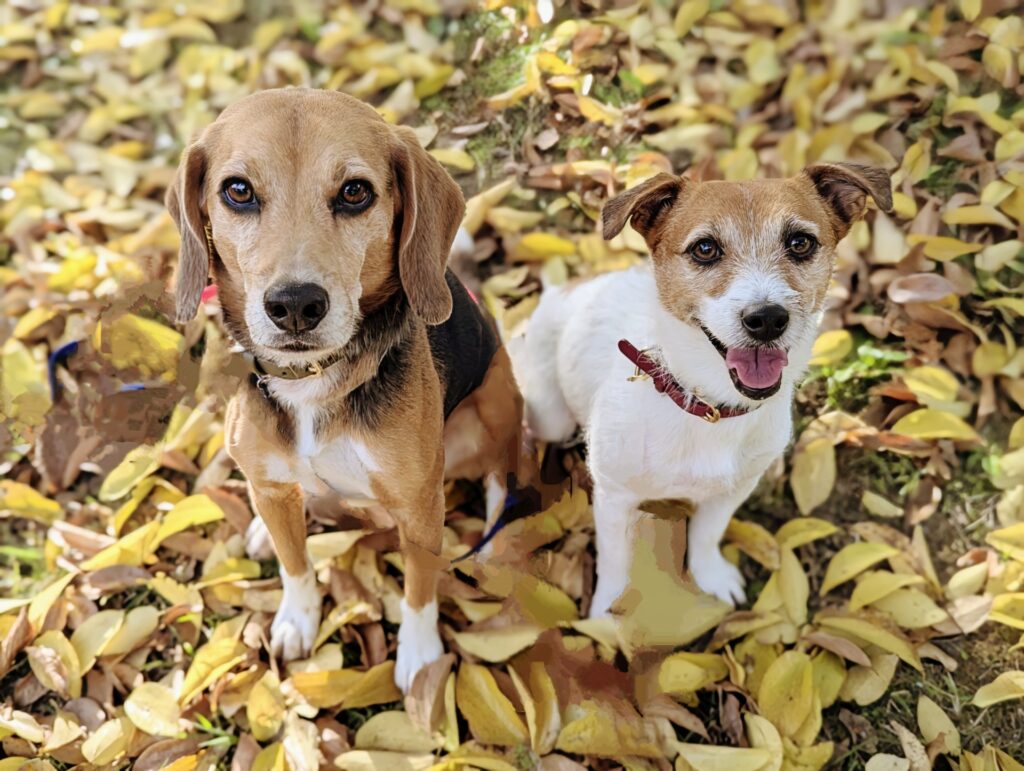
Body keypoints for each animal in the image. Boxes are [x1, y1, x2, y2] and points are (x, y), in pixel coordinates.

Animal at [166, 87, 524, 688]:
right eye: (238, 190)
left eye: (355, 192)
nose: (295, 305)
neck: (313, 381)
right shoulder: (274, 489)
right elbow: (295, 564)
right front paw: (297, 618)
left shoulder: (421, 507)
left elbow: (419, 589)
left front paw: (421, 658)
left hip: (496, 405)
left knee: (505, 468)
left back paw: (494, 541)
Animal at [516, 163, 892, 618]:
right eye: (705, 248)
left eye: (800, 242)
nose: (766, 319)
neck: (708, 406)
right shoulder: (615, 497)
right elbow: (615, 561)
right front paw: (608, 613)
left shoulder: (731, 491)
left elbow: (708, 534)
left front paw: (709, 575)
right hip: (550, 415)